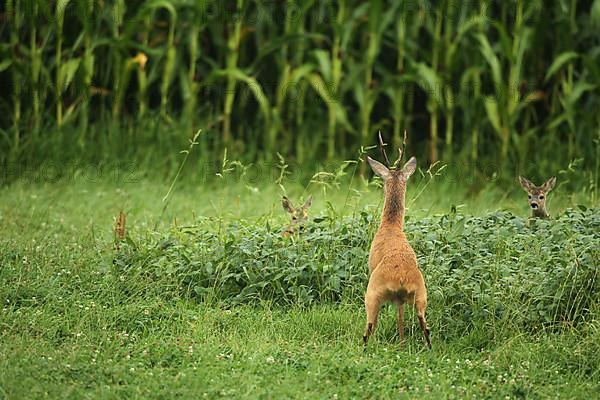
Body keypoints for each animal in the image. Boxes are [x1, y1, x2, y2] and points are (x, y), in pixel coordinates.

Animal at [360, 133, 432, 348]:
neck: (391, 226)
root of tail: (400, 277)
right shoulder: (401, 300)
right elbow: (400, 316)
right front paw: (400, 340)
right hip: (421, 295)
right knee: (424, 326)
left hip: (372, 294)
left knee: (370, 326)